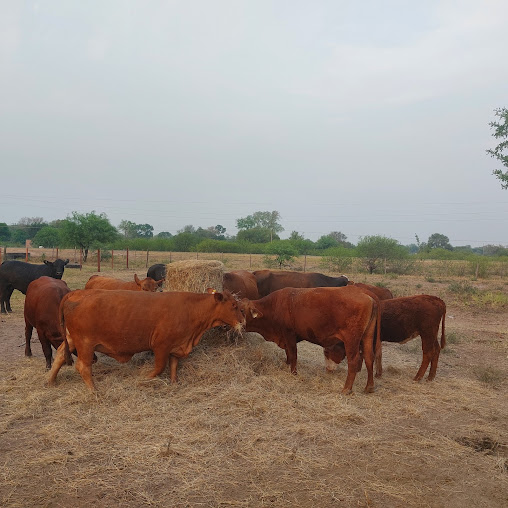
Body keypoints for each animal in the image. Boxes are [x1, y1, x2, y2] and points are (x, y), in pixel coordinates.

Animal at [47, 288, 246, 390]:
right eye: (234, 305)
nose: (243, 320)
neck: (190, 309)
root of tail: (75, 294)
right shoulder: (161, 346)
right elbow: (159, 368)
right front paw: (143, 379)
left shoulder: (176, 346)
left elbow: (174, 366)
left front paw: (174, 383)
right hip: (85, 343)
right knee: (83, 367)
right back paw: (94, 391)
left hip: (71, 339)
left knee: (59, 355)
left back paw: (51, 380)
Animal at [240, 288, 380, 394]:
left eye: (241, 310)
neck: (274, 306)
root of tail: (367, 294)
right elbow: (289, 354)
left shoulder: (289, 334)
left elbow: (293, 354)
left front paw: (294, 373)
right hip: (367, 336)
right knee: (369, 357)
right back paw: (369, 387)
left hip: (351, 339)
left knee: (354, 360)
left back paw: (347, 389)